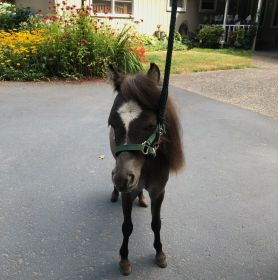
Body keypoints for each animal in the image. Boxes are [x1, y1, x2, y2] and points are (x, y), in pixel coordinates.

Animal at [107, 63, 185, 276]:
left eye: (150, 125)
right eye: (111, 123)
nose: (122, 179)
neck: (147, 164)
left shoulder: (159, 192)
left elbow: (156, 223)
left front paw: (159, 253)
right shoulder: (127, 191)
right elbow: (127, 226)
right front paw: (124, 259)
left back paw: (141, 198)